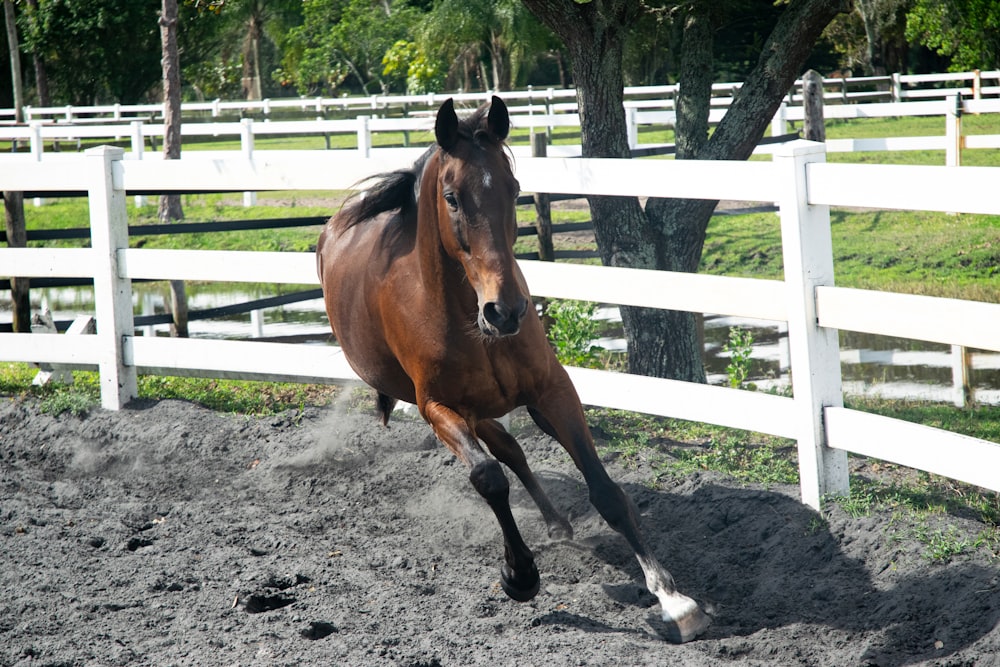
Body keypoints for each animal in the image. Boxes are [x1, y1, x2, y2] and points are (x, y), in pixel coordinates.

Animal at [318, 98, 712, 640]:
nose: (505, 311)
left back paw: (558, 525)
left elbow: (605, 491)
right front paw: (520, 575)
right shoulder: (438, 408)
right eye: (452, 198)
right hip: (469, 412)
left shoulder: (553, 390)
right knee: (503, 455)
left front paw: (674, 600)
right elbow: (488, 477)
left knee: (515, 451)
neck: (468, 317)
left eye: (515, 187)